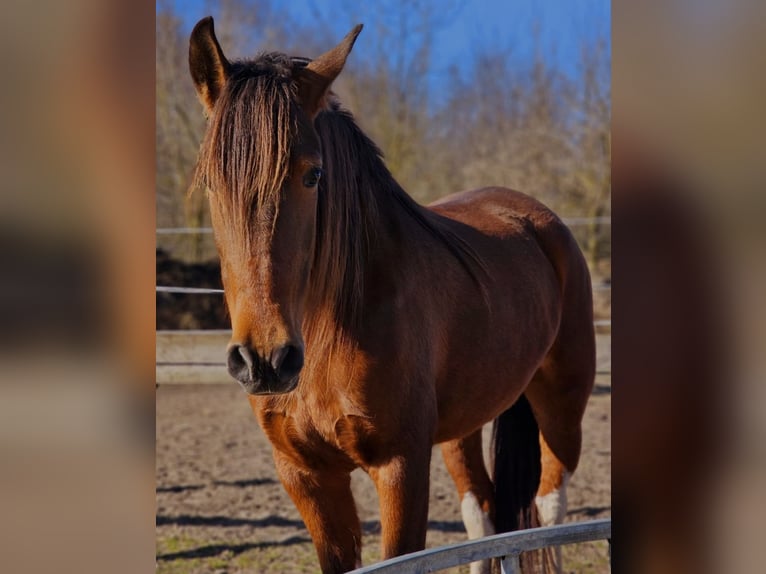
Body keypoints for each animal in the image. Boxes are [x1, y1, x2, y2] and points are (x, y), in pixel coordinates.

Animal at [189, 18, 596, 574]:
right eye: (210, 181)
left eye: (313, 175)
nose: (265, 362)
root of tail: (539, 218)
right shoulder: (305, 475)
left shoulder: (400, 467)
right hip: (465, 423)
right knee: (483, 516)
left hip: (561, 405)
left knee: (549, 507)